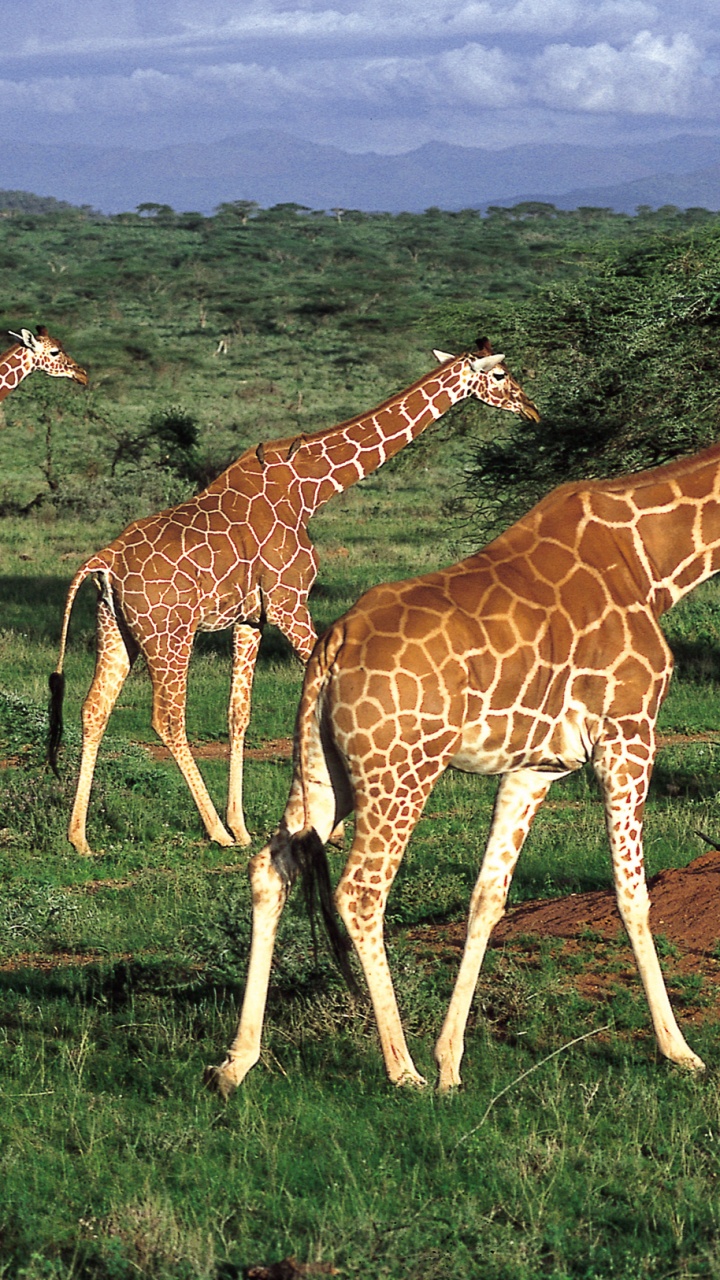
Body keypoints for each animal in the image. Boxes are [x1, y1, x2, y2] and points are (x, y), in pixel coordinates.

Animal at [49, 343, 539, 855]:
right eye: (500, 375)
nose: (531, 409)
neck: (310, 487)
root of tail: (103, 561)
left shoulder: (251, 618)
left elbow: (238, 714)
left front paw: (245, 824)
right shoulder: (289, 601)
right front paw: (328, 826)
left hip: (116, 629)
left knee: (94, 710)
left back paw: (79, 837)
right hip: (170, 634)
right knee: (167, 719)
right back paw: (214, 831)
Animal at [206, 436, 720, 1097]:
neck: (654, 561)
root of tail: (333, 643)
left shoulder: (535, 766)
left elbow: (487, 898)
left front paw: (452, 1061)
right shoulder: (628, 733)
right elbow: (631, 893)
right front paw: (679, 1051)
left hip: (322, 771)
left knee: (272, 868)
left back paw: (236, 1062)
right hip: (403, 768)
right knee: (361, 891)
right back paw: (402, 1068)